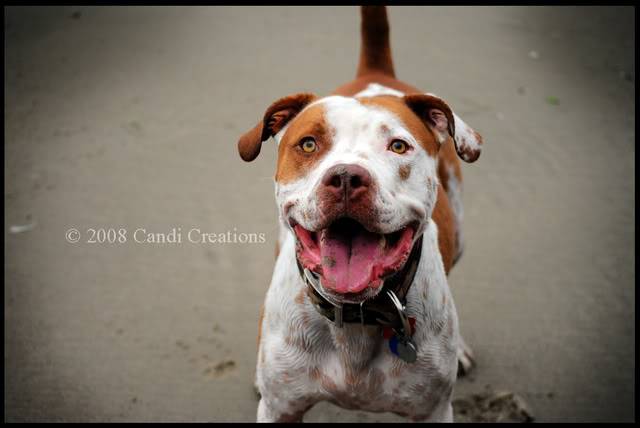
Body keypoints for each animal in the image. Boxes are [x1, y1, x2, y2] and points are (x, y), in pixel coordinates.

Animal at [238, 5, 482, 422]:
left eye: (399, 146)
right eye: (308, 144)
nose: (347, 177)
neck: (356, 318)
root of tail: (376, 75)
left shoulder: (434, 410)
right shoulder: (280, 409)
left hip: (463, 233)